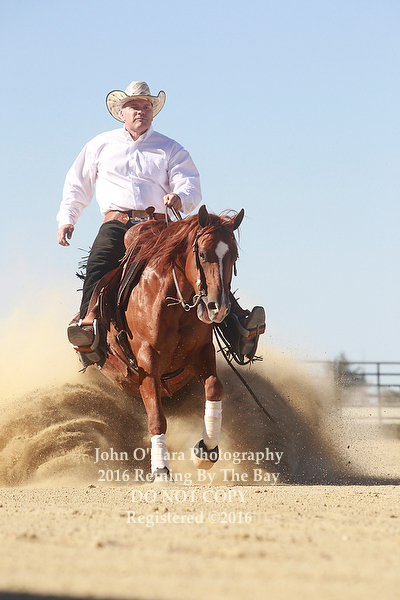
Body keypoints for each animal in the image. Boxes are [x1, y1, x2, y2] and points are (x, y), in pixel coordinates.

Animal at [96, 205, 244, 480]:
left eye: (234, 256)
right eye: (203, 254)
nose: (219, 307)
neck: (173, 302)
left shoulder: (200, 355)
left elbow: (214, 387)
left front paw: (205, 451)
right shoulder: (148, 364)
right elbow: (156, 419)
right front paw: (161, 470)